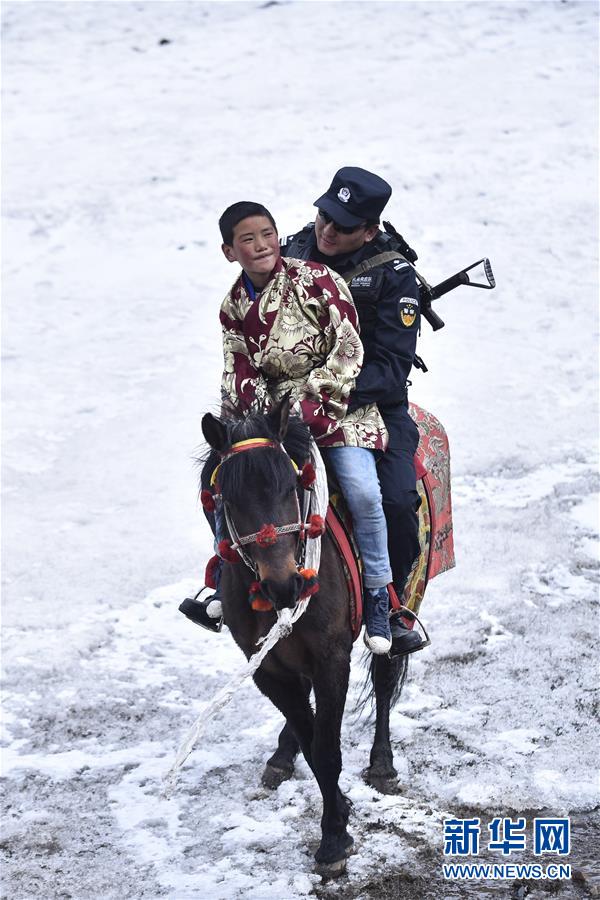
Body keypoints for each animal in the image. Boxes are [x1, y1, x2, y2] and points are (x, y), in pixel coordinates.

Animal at [202, 398, 408, 876]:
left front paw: (333, 840)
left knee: (385, 680)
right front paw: (341, 814)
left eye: (292, 484)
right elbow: (314, 746)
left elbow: (327, 749)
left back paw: (382, 765)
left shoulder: (332, 659)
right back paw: (281, 755)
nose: (283, 585)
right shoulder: (267, 668)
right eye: (228, 499)